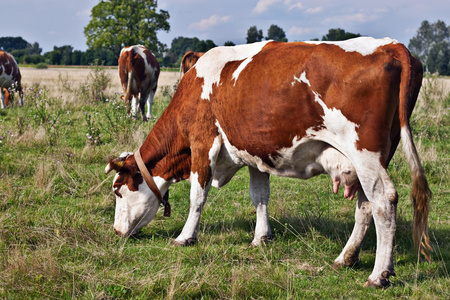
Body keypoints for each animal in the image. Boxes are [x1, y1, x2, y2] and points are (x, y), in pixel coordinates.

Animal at [106, 38, 432, 288]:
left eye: (118, 191)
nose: (117, 232)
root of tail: (390, 45)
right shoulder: (253, 153)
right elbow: (260, 196)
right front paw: (261, 237)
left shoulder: (203, 143)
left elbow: (197, 196)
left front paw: (185, 237)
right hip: (373, 158)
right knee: (365, 205)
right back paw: (346, 258)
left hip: (365, 153)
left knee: (384, 202)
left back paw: (379, 275)